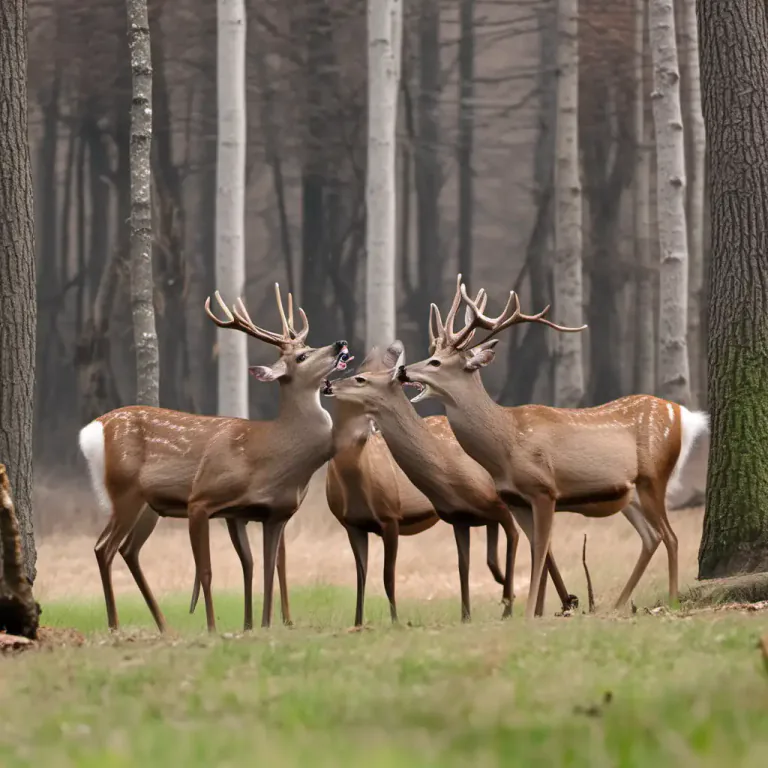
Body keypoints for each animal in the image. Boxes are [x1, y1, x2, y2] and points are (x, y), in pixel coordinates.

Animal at [79, 284, 351, 633]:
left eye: (308, 346)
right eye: (302, 356)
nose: (340, 344)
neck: (270, 455)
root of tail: (93, 431)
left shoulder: (264, 513)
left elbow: (263, 567)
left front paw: (259, 625)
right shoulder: (202, 499)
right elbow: (207, 572)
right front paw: (212, 627)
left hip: (147, 507)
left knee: (128, 549)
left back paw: (163, 626)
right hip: (124, 491)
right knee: (104, 548)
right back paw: (115, 625)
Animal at [324, 339, 579, 621]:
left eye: (361, 379)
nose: (329, 384)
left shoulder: (498, 506)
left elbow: (511, 542)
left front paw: (508, 605)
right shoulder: (459, 518)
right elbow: (463, 565)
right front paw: (468, 614)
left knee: (538, 544)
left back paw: (553, 602)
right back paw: (557, 602)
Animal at [397, 275, 709, 618]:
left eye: (435, 361)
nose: (402, 370)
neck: (504, 447)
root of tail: (683, 415)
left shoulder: (544, 490)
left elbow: (541, 550)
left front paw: (530, 612)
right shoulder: (516, 500)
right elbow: (540, 552)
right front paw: (541, 610)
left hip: (654, 477)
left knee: (671, 536)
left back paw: (672, 600)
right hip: (630, 493)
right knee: (651, 537)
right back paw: (617, 604)